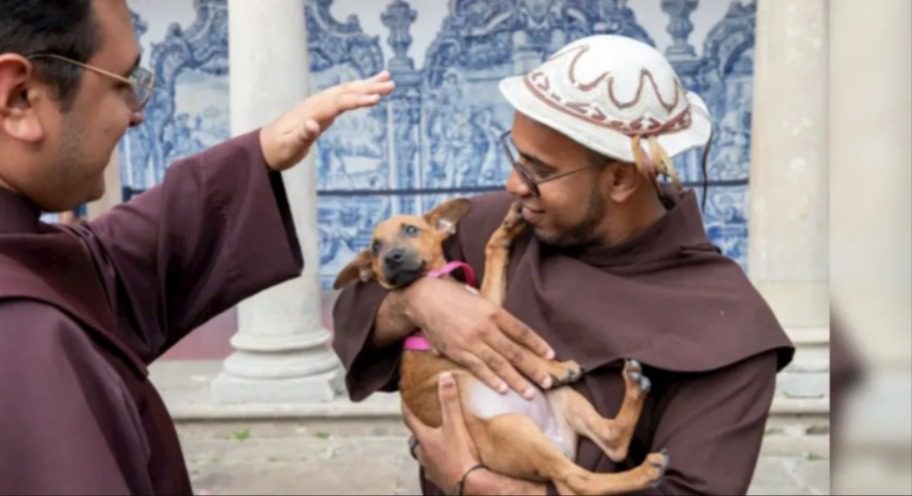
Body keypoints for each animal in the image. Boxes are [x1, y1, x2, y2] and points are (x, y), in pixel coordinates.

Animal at [334, 199, 668, 496]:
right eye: (375, 248)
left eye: (411, 230)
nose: (392, 258)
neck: (438, 280)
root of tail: (557, 444)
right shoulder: (466, 332)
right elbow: (526, 355)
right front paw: (556, 366)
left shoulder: (489, 304)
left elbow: (493, 252)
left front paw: (508, 226)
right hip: (512, 429)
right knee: (579, 481)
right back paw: (645, 471)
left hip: (563, 399)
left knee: (612, 444)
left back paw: (634, 387)